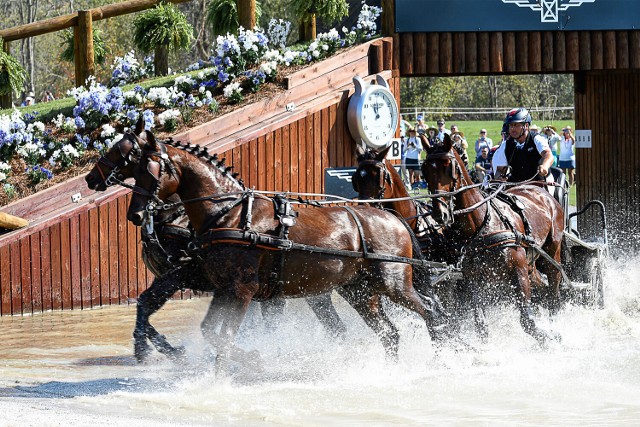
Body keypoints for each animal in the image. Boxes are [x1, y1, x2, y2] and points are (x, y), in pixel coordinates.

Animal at [124, 137, 444, 368]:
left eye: (151, 171)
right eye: (134, 170)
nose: (135, 214)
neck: (231, 213)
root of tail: (393, 217)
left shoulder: (242, 289)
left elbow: (223, 337)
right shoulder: (224, 289)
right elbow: (210, 332)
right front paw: (250, 358)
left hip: (394, 284)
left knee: (430, 312)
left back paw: (443, 357)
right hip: (360, 292)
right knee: (389, 334)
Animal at [422, 134, 568, 344]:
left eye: (448, 167)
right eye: (425, 170)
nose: (439, 213)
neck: (482, 222)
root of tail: (542, 192)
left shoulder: (518, 270)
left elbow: (527, 320)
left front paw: (548, 337)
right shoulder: (473, 279)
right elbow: (481, 324)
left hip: (551, 252)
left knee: (553, 289)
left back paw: (554, 322)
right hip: (531, 264)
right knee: (543, 286)